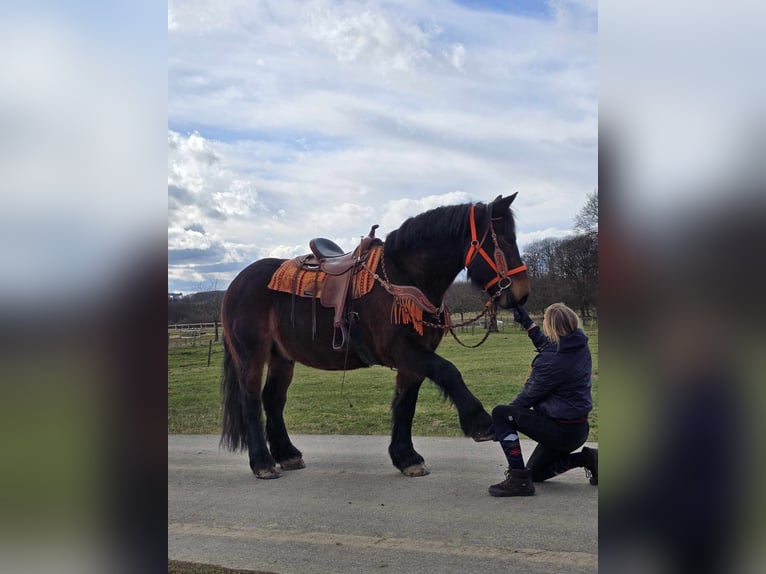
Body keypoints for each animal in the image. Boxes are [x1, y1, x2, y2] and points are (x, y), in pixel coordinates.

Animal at [222, 196, 532, 480]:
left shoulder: (413, 360)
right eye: (505, 240)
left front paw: (406, 457)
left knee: (273, 398)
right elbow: (449, 372)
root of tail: (236, 284)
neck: (402, 277)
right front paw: (481, 422)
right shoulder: (402, 350)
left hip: (282, 357)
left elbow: (405, 405)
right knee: (251, 400)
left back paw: (287, 454)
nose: (521, 292)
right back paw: (262, 463)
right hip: (251, 353)